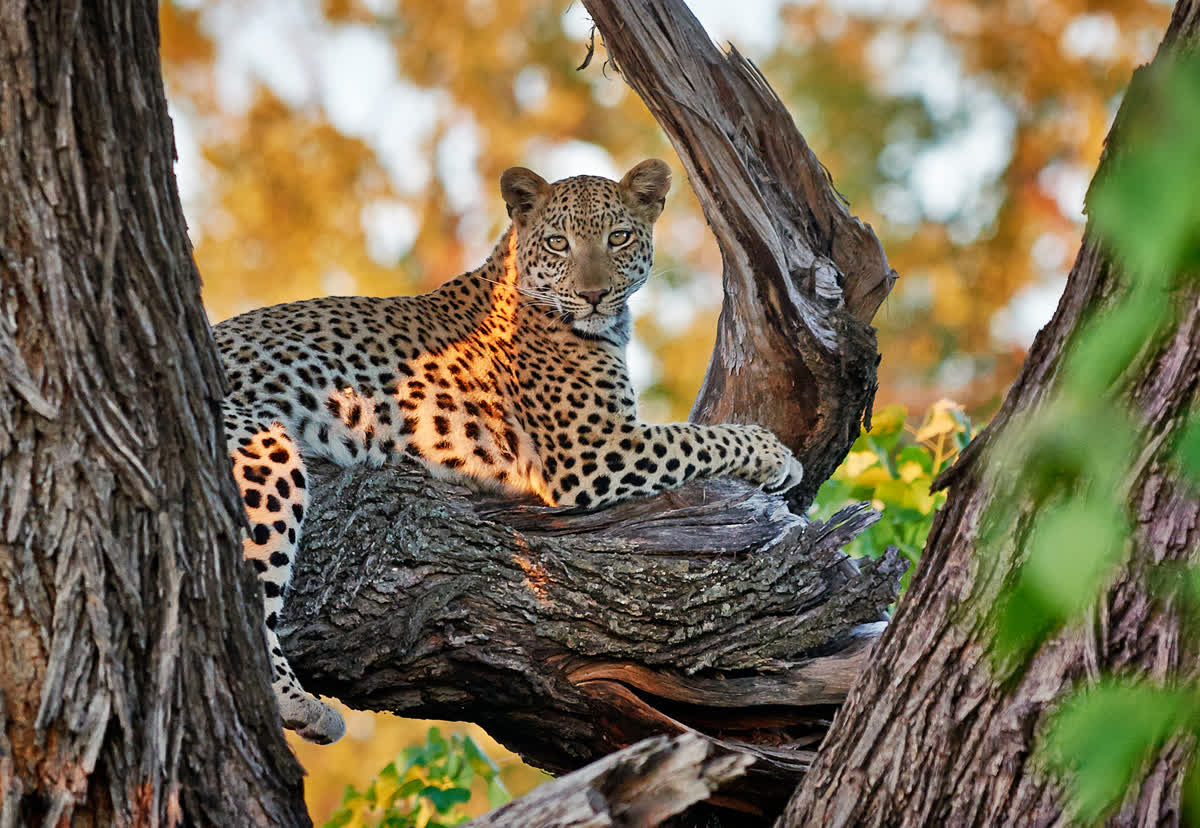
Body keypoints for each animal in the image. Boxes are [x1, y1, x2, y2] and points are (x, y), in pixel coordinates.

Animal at [214, 159, 804, 744]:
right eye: (560, 243)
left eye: (618, 237)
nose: (593, 295)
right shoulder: (595, 447)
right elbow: (697, 436)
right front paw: (776, 454)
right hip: (261, 445)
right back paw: (299, 704)